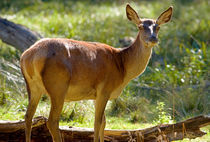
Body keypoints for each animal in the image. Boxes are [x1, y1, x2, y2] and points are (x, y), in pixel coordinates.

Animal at [20, 4, 173, 142]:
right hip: (58, 85)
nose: (153, 38)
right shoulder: (104, 89)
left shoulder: (95, 95)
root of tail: (29, 56)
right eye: (140, 26)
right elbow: (97, 122)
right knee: (52, 121)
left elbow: (103, 122)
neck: (122, 66)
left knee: (28, 116)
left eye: (158, 27)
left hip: (33, 86)